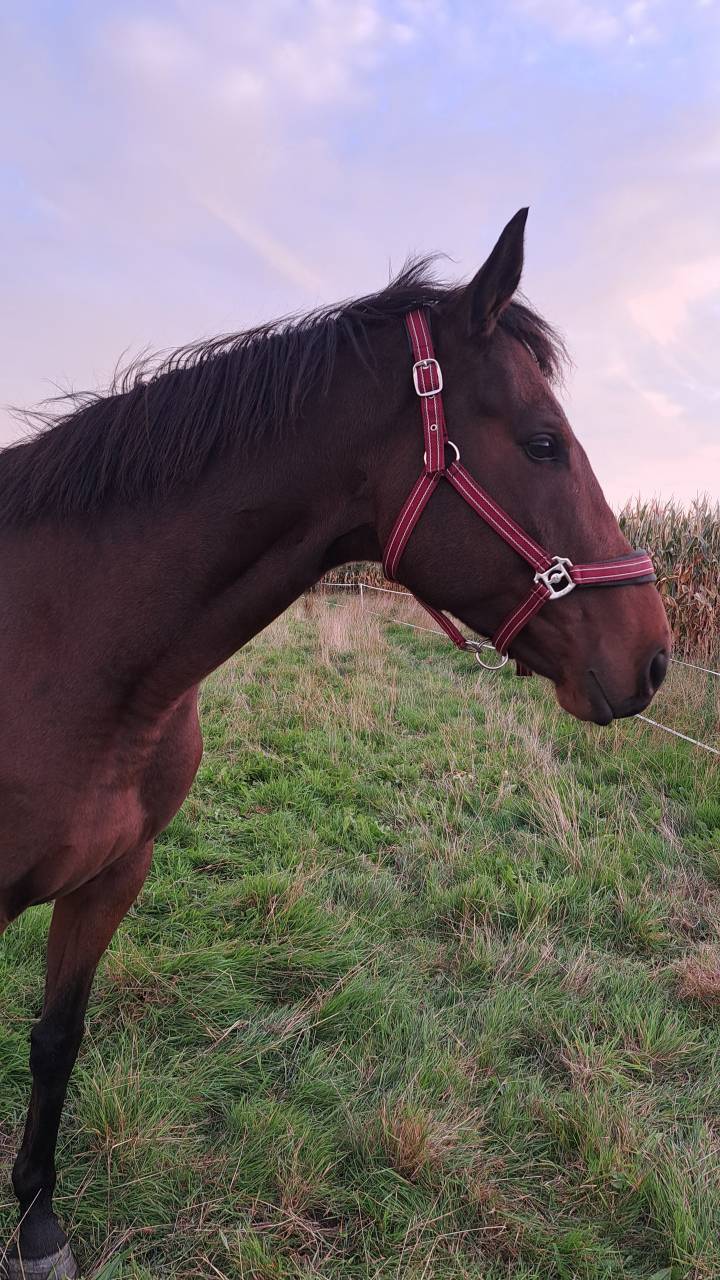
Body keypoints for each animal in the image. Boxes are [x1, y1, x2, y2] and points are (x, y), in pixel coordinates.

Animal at [0, 209, 670, 1279]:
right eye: (543, 443)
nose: (653, 656)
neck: (67, 648)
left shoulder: (113, 877)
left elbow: (57, 1037)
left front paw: (38, 1224)